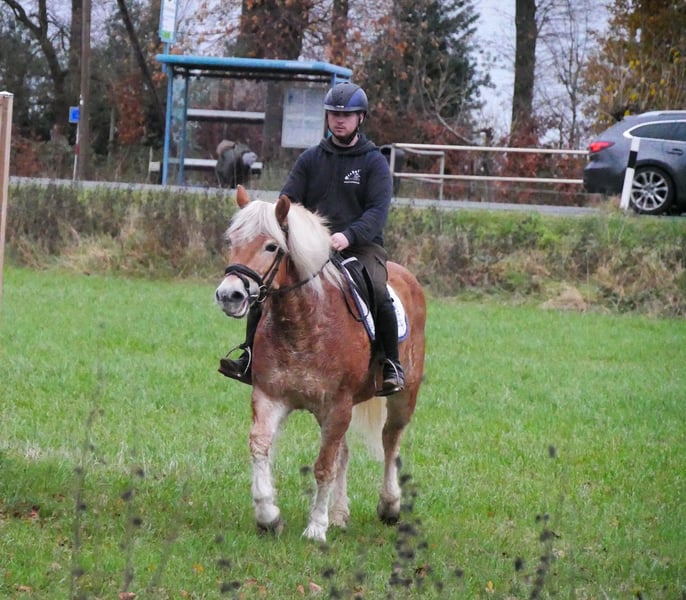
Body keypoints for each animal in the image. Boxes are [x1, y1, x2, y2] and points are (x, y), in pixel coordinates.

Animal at [214, 185, 426, 542]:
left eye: (272, 246)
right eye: (232, 240)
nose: (229, 295)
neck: (303, 323)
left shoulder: (337, 406)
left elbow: (323, 465)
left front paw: (315, 528)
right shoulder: (270, 397)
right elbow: (260, 446)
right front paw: (269, 516)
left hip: (403, 395)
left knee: (389, 441)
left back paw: (389, 506)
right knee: (345, 452)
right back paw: (339, 514)